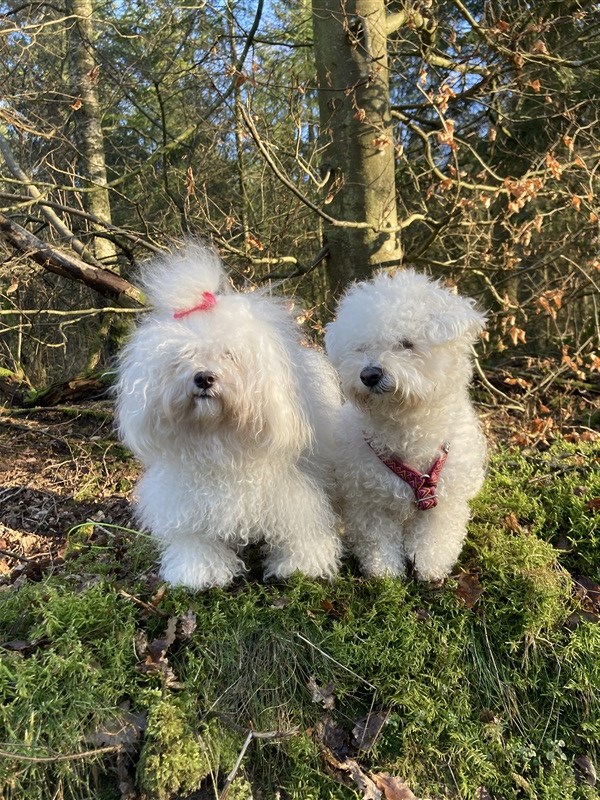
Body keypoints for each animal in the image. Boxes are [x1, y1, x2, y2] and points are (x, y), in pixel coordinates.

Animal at [116, 243, 341, 590]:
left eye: (230, 355)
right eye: (183, 356)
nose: (204, 378)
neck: (220, 436)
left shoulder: (294, 489)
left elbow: (301, 526)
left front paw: (301, 565)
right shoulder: (187, 502)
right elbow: (195, 538)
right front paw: (199, 569)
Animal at [324, 269, 487, 581]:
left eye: (406, 344)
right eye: (360, 348)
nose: (369, 374)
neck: (406, 426)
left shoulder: (444, 498)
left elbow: (435, 535)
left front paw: (430, 565)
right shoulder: (368, 499)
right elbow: (377, 539)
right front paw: (384, 571)